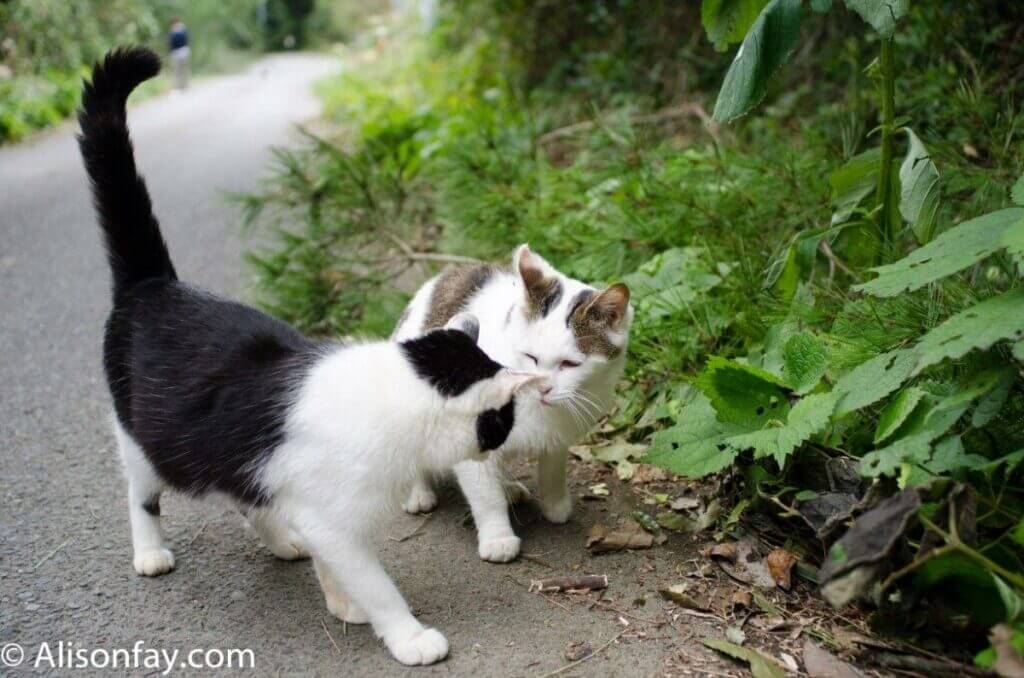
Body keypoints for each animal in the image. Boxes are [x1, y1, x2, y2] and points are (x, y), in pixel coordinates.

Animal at [78, 47, 544, 667]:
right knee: (142, 494)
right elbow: (376, 582)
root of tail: (156, 285)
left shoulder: (316, 508)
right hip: (145, 441)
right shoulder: (336, 521)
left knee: (246, 496)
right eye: (503, 422)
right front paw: (407, 634)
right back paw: (151, 551)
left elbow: (332, 562)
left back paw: (281, 543)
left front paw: (343, 604)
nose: (508, 443)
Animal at [391, 244, 630, 561]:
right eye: (530, 356)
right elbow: (485, 495)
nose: (542, 387)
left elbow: (553, 469)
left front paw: (555, 505)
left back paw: (508, 488)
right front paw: (498, 538)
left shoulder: (557, 433)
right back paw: (417, 492)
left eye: (569, 364)